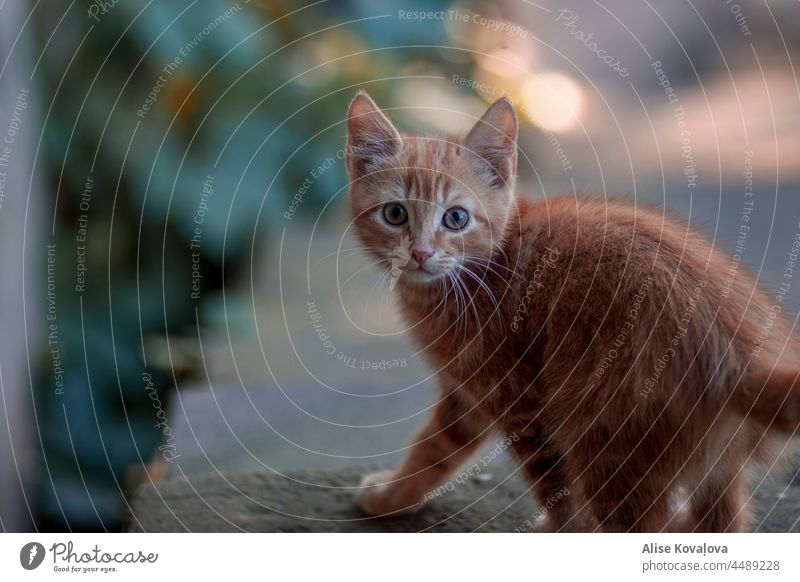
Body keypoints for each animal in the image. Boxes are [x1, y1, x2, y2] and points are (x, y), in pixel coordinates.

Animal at [346, 91, 800, 532]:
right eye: (395, 213)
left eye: (456, 218)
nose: (420, 253)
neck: (484, 269)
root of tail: (742, 357)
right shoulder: (468, 393)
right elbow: (434, 447)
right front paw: (392, 497)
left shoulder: (520, 399)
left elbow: (554, 483)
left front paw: (560, 528)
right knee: (722, 520)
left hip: (604, 435)